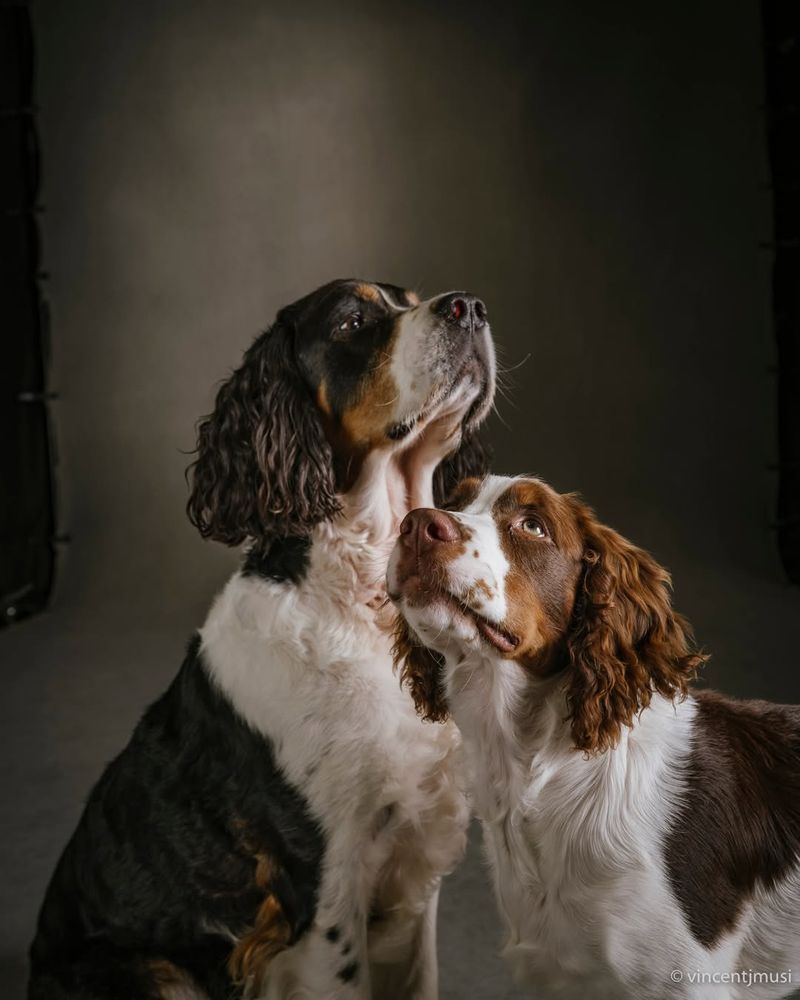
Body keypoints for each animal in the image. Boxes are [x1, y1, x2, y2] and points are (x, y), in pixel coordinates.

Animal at [29, 280, 494, 1000]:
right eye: (352, 321)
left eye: (410, 299)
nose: (468, 306)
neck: (364, 607)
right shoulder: (324, 883)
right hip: (153, 973)